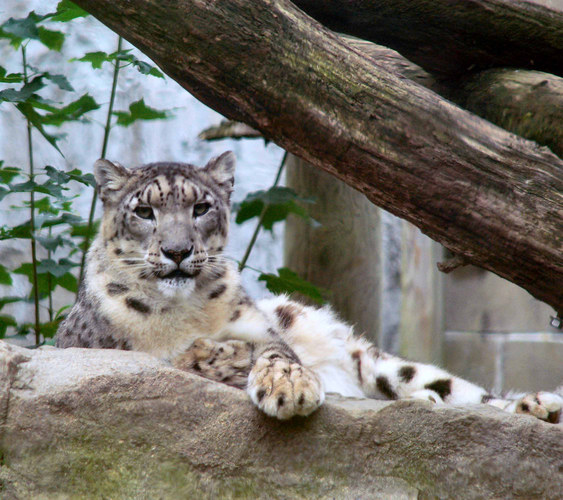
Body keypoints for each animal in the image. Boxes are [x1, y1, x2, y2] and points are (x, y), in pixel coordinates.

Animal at [56, 151, 563, 422]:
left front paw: (289, 388)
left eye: (201, 207)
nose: (178, 251)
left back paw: (535, 404)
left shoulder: (262, 331)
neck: (184, 313)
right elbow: (184, 360)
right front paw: (216, 355)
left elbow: (277, 354)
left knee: (470, 395)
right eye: (144, 211)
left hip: (384, 364)